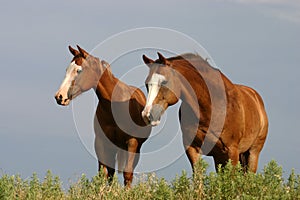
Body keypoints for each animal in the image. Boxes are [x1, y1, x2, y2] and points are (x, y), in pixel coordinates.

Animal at [54, 45, 151, 188]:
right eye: (67, 69)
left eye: (79, 70)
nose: (59, 96)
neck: (116, 105)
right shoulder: (101, 142)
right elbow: (103, 174)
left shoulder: (132, 143)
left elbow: (128, 174)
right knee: (111, 172)